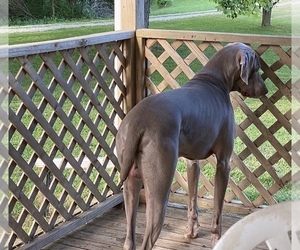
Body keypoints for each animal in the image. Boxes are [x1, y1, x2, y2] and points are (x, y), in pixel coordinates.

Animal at [116, 42, 268, 249]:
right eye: (257, 68)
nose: (265, 90)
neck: (215, 80)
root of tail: (137, 121)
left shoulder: (192, 162)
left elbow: (192, 201)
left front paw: (191, 232)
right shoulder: (223, 163)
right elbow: (217, 212)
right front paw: (216, 240)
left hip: (130, 183)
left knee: (129, 238)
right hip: (159, 189)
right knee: (147, 239)